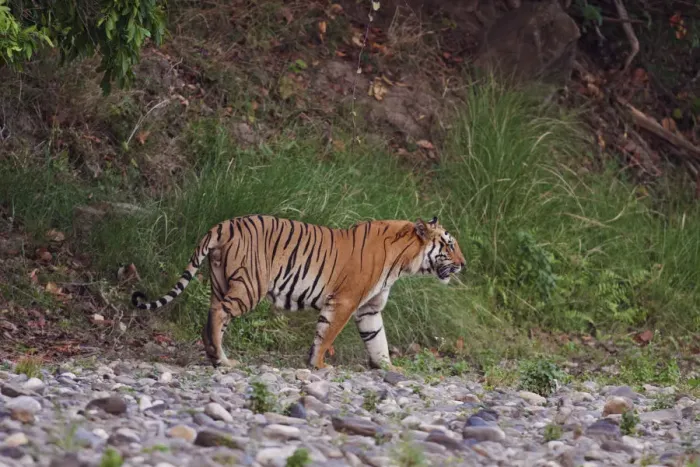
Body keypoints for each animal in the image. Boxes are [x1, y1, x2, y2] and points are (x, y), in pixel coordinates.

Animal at [131, 215, 465, 370]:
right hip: (250, 286)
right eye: (449, 244)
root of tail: (225, 224)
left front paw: (389, 368)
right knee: (218, 313)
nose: (463, 264)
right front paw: (318, 365)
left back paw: (216, 356)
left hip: (221, 282)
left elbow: (377, 340)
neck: (403, 261)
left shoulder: (369, 309)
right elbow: (327, 335)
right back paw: (222, 361)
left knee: (213, 319)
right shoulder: (344, 302)